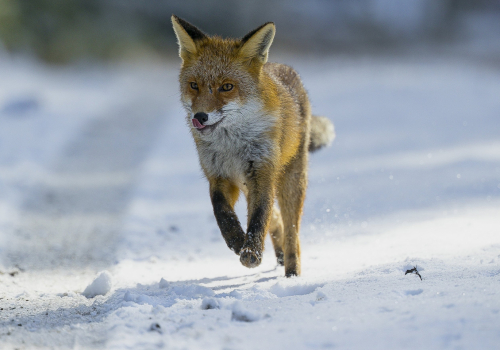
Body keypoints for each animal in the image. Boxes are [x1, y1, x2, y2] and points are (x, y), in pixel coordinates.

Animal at [173, 15, 336, 276]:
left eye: (227, 87)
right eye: (194, 85)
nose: (199, 117)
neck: (231, 146)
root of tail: (284, 68)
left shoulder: (262, 172)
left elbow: (259, 218)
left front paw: (251, 252)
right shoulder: (218, 176)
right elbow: (222, 213)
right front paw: (237, 241)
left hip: (290, 181)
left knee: (292, 231)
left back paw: (292, 272)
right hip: (250, 184)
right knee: (277, 222)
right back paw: (279, 256)